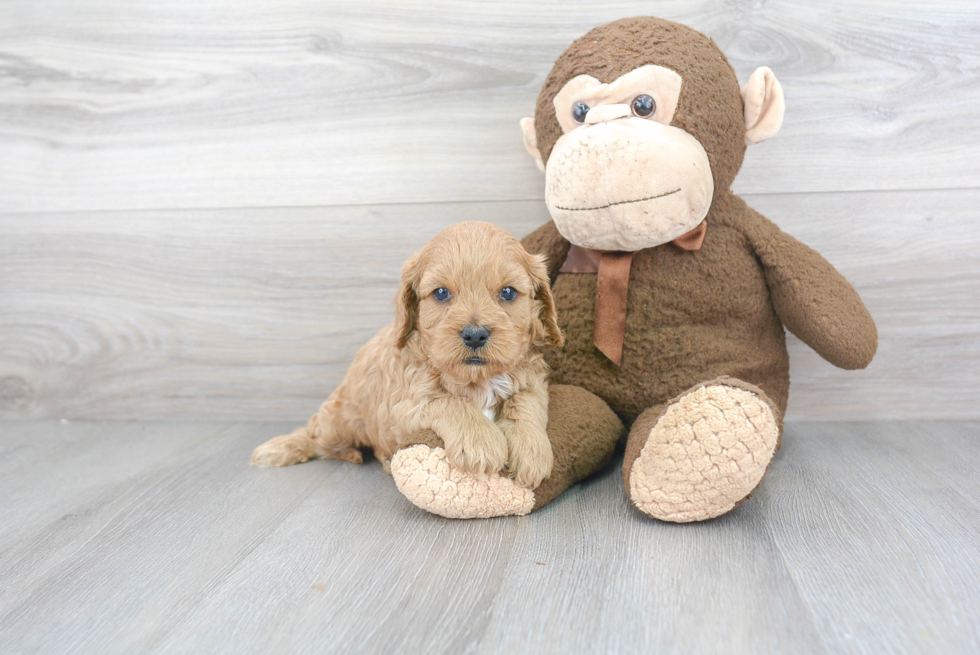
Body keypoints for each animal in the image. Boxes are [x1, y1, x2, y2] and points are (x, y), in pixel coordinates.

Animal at [249, 223, 564, 490]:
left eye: (508, 292)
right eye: (441, 293)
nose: (475, 335)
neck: (475, 379)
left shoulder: (533, 381)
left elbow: (525, 404)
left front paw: (531, 451)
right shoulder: (405, 405)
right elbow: (451, 402)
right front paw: (481, 442)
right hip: (337, 421)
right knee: (315, 436)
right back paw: (280, 448)